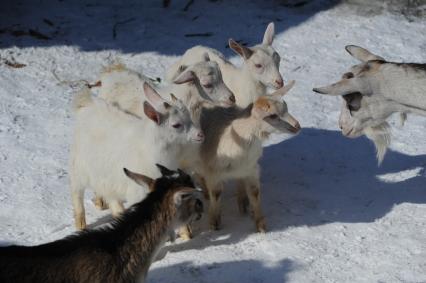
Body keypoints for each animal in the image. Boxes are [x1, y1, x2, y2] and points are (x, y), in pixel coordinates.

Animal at [69, 82, 203, 231]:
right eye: (176, 125)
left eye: (189, 117)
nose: (200, 135)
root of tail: (86, 104)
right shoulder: (138, 190)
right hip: (78, 166)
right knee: (76, 191)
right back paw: (81, 224)